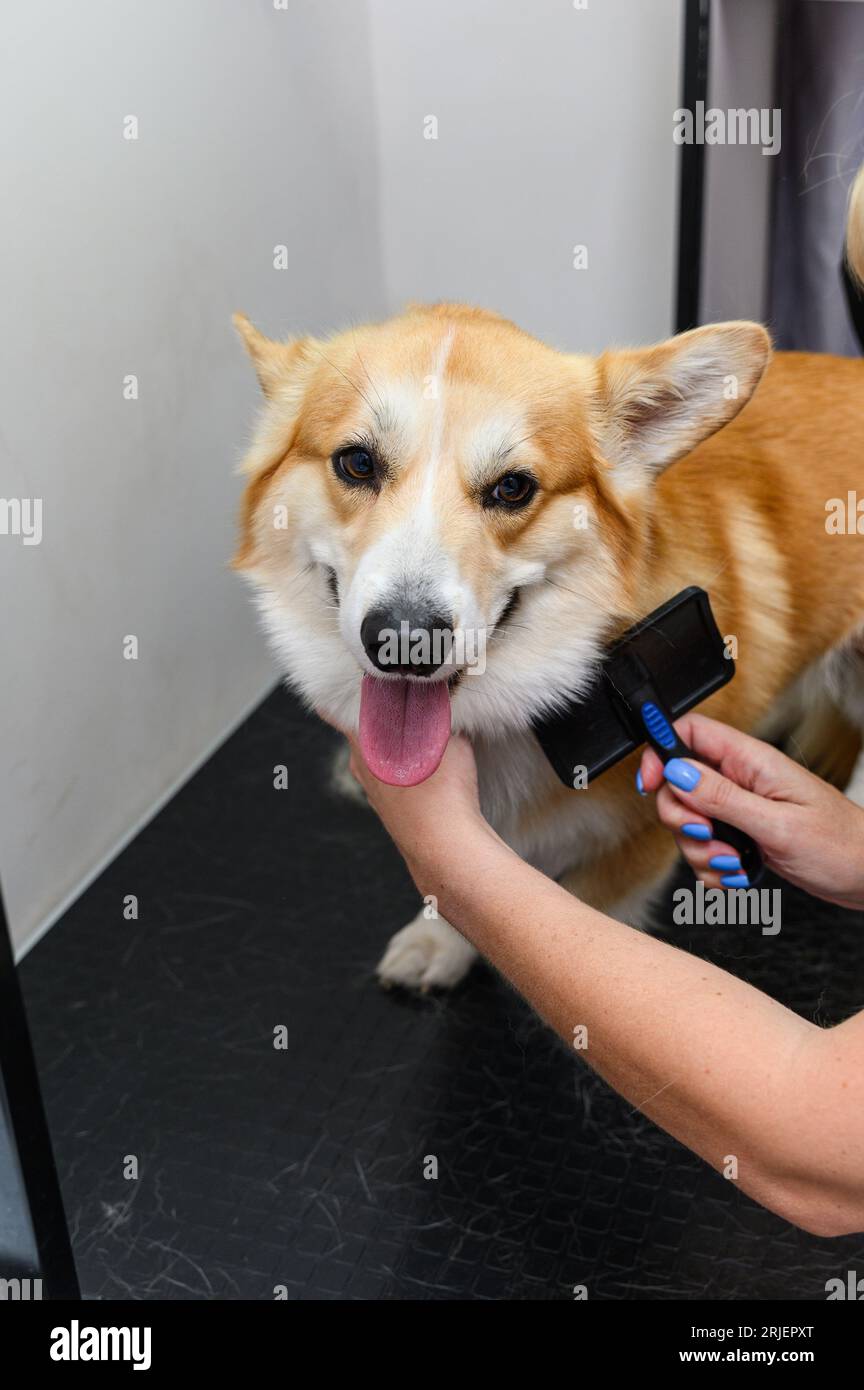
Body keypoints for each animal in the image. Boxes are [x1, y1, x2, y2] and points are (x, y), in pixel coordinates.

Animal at [233, 179, 864, 995]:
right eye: (357, 463)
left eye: (513, 488)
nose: (405, 638)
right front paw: (437, 942)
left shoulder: (644, 843)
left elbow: (579, 921)